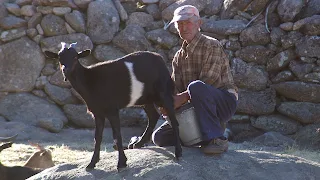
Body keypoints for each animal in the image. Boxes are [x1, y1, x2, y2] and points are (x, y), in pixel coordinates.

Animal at [43, 42, 181, 172]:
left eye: (75, 57)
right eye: (59, 58)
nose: (66, 69)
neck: (90, 80)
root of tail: (160, 59)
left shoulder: (112, 110)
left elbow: (117, 136)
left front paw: (121, 163)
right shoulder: (97, 113)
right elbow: (97, 137)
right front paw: (92, 164)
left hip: (164, 93)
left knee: (173, 120)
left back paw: (178, 153)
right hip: (146, 99)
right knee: (153, 116)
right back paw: (138, 144)